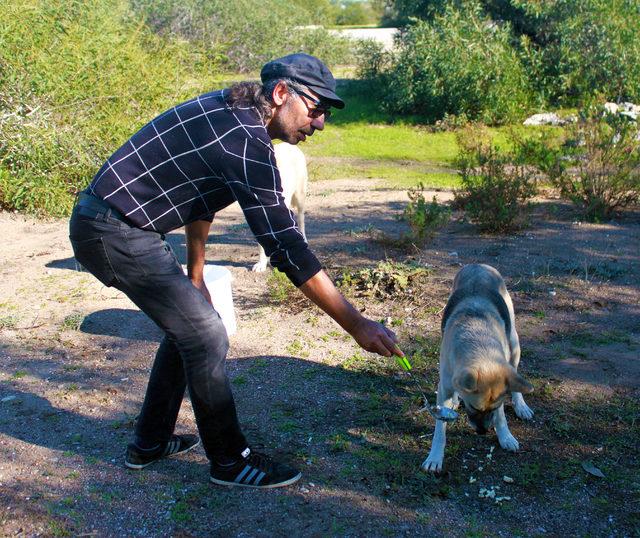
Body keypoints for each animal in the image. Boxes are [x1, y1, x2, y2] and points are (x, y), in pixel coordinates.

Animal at [422, 262, 532, 468]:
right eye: (473, 408)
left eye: (493, 409)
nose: (482, 432)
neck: (480, 348)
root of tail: (479, 265)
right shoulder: (445, 385)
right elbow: (440, 429)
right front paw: (435, 457)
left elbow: (501, 416)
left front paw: (505, 436)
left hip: (514, 345)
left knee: (516, 379)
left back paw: (521, 405)